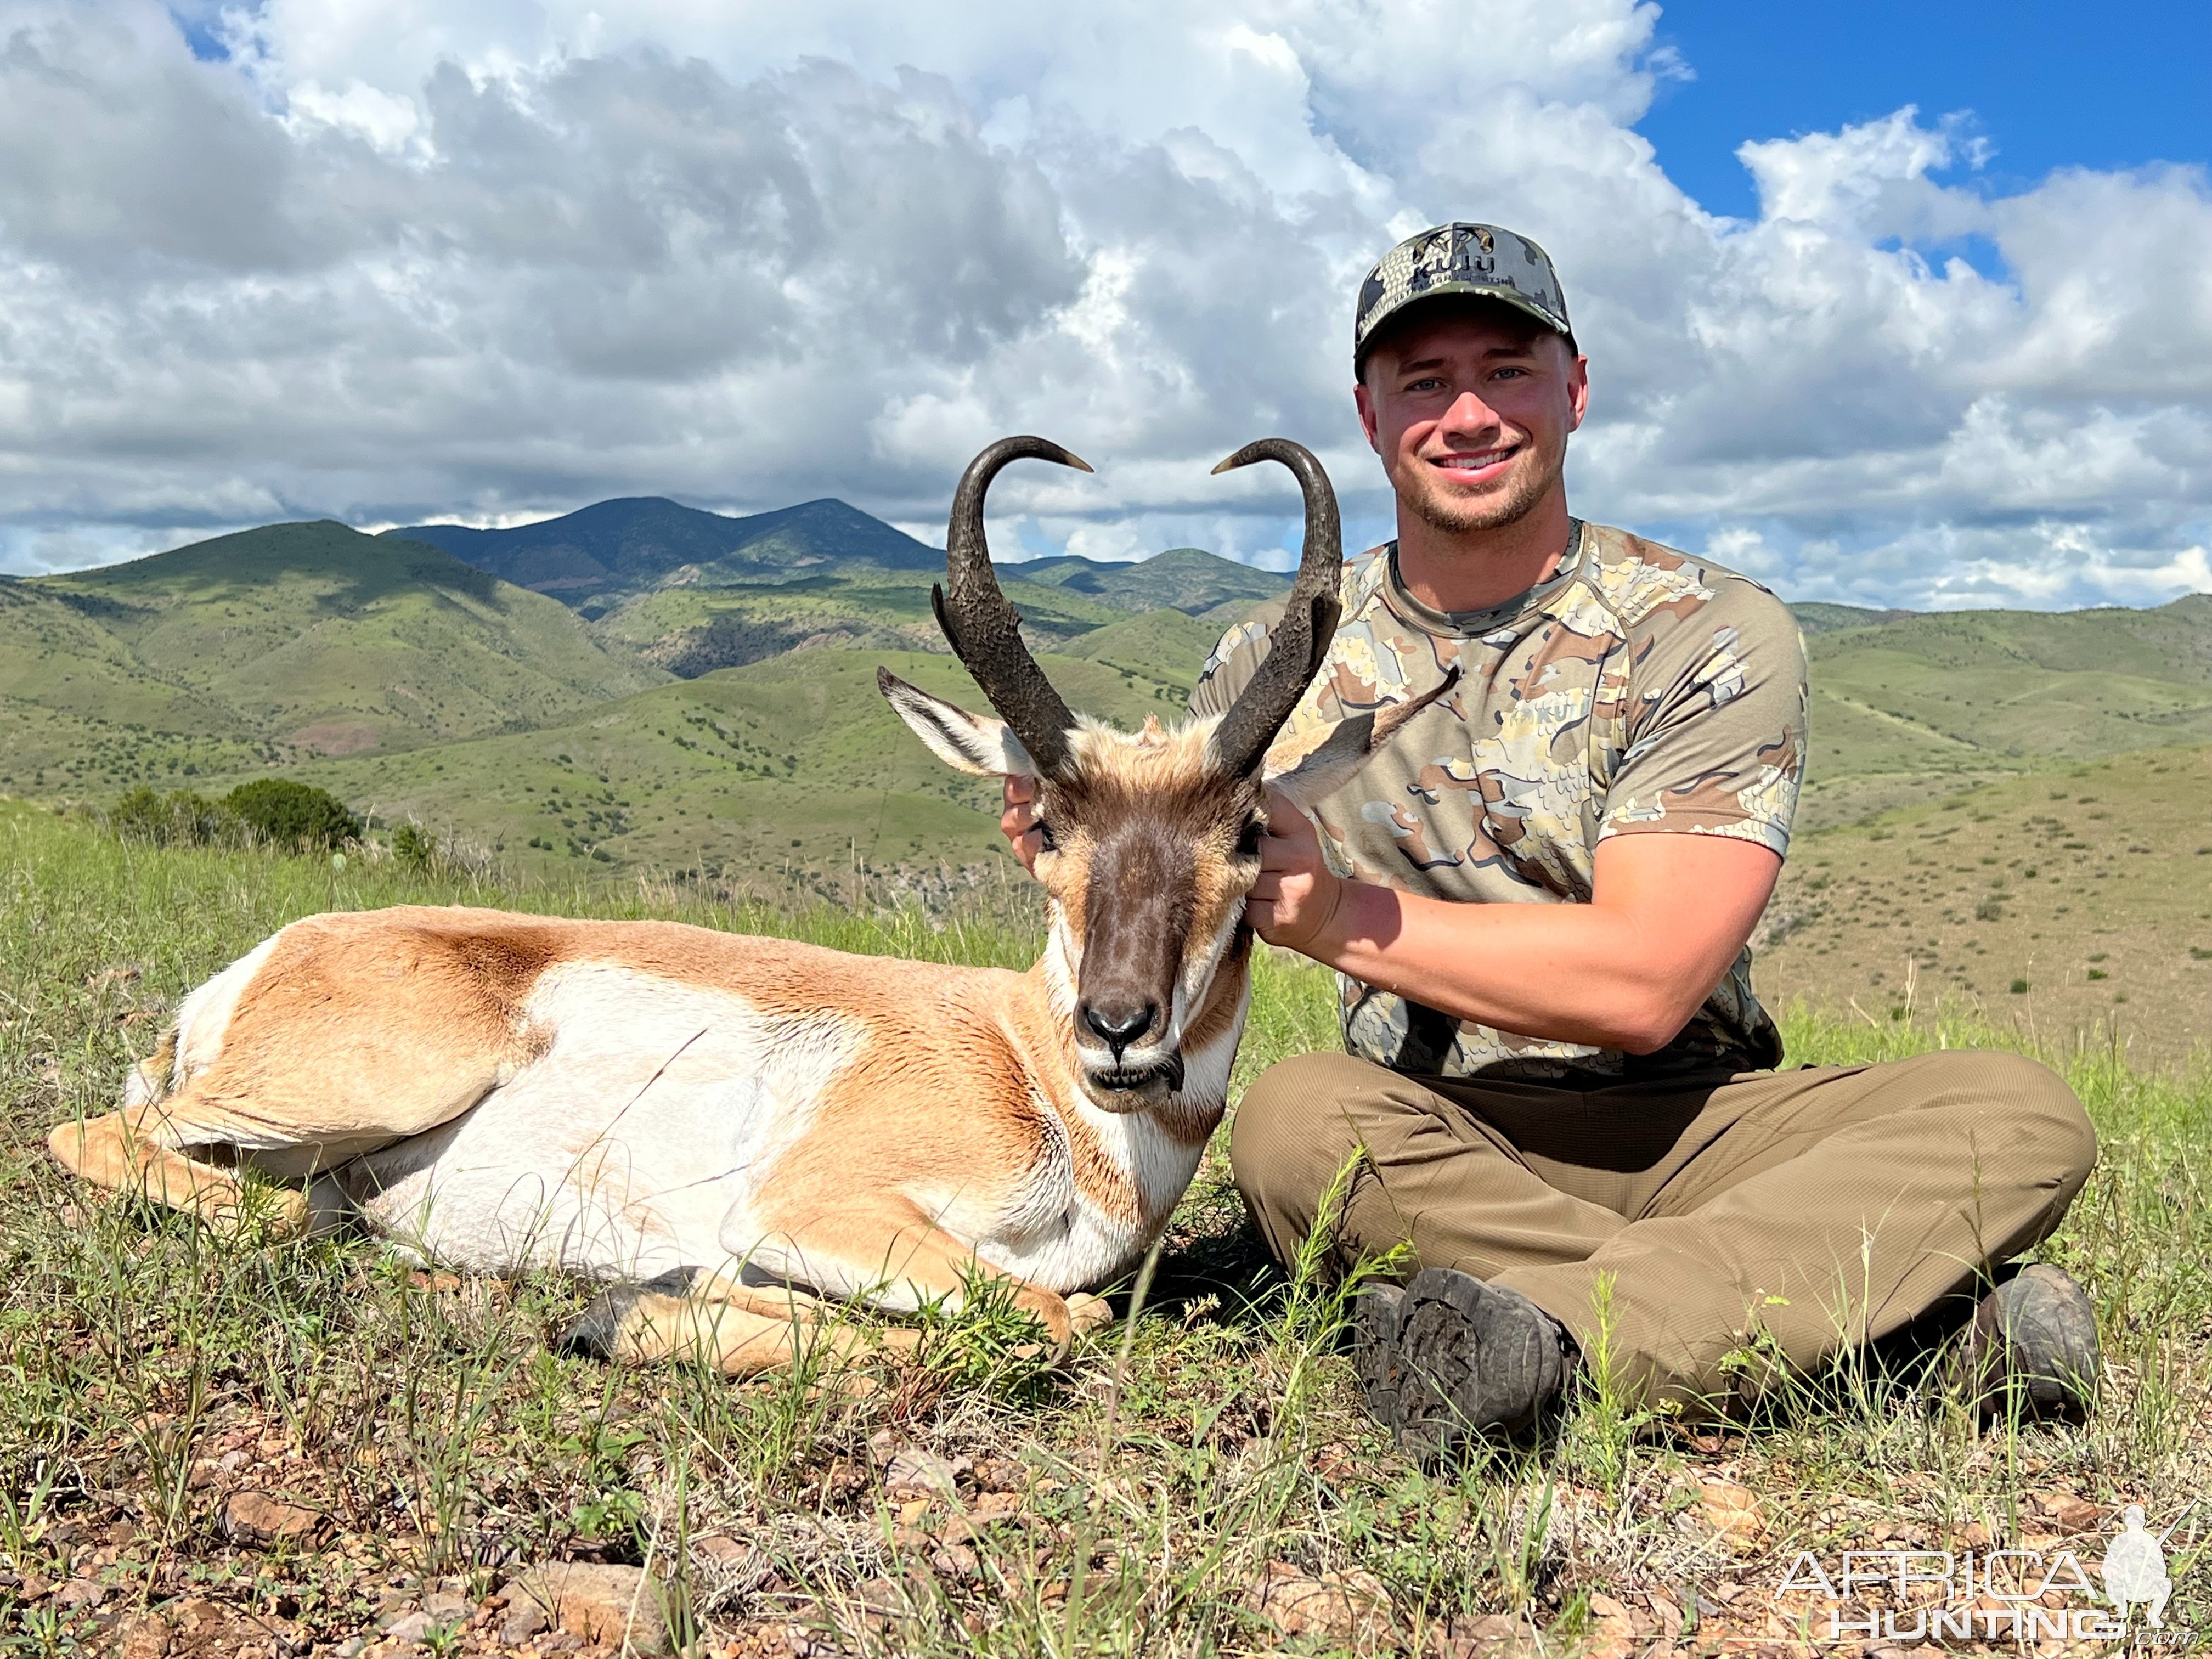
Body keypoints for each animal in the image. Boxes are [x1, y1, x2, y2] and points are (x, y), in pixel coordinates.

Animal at [47, 438, 1451, 1380]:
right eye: (1047, 826)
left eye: (1247, 834)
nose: (1119, 1026)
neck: (1028, 1067)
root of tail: (259, 964)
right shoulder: (814, 1207)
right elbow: (1049, 1317)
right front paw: (633, 1306)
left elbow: (1072, 1310)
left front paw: (641, 1300)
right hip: (353, 1095)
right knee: (120, 1150)